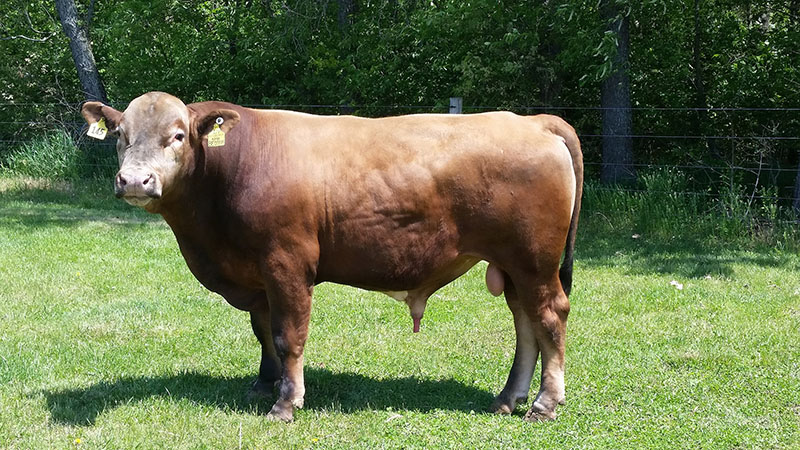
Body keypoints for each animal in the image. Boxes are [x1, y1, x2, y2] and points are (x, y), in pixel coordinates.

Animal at [79, 91, 580, 422]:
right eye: (120, 135)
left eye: (178, 135)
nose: (134, 180)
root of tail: (533, 121)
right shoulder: (257, 276)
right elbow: (264, 332)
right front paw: (264, 384)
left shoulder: (286, 263)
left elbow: (288, 336)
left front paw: (286, 403)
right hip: (513, 267)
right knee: (525, 324)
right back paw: (507, 397)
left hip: (534, 261)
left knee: (549, 317)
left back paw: (544, 403)